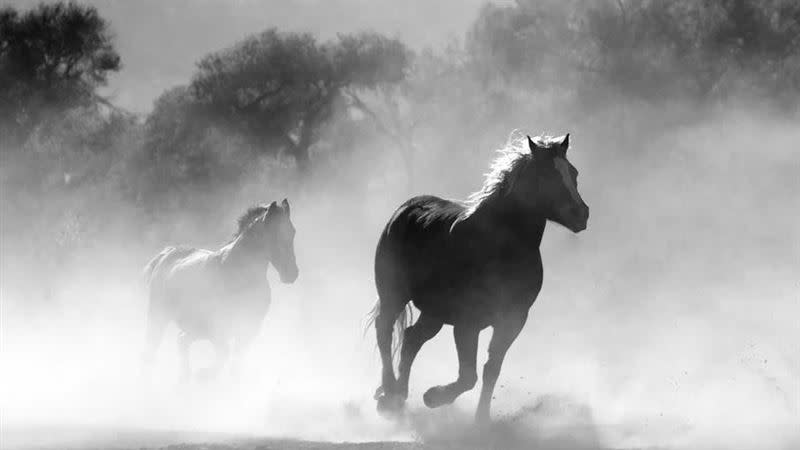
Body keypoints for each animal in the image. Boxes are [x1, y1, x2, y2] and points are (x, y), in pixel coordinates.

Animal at [141, 200, 296, 380]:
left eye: (293, 231)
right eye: (275, 233)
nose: (292, 273)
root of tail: (166, 254)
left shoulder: (249, 329)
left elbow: (235, 364)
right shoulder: (218, 328)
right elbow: (225, 355)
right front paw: (204, 375)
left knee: (181, 341)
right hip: (158, 317)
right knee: (151, 350)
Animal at [368, 133, 588, 422]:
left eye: (573, 172)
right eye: (546, 175)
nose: (581, 214)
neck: (500, 247)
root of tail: (405, 209)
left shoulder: (512, 320)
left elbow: (490, 370)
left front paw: (481, 420)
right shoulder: (467, 322)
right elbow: (468, 376)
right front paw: (433, 397)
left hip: (434, 313)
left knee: (412, 338)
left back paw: (399, 395)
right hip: (394, 295)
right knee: (385, 330)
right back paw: (389, 394)